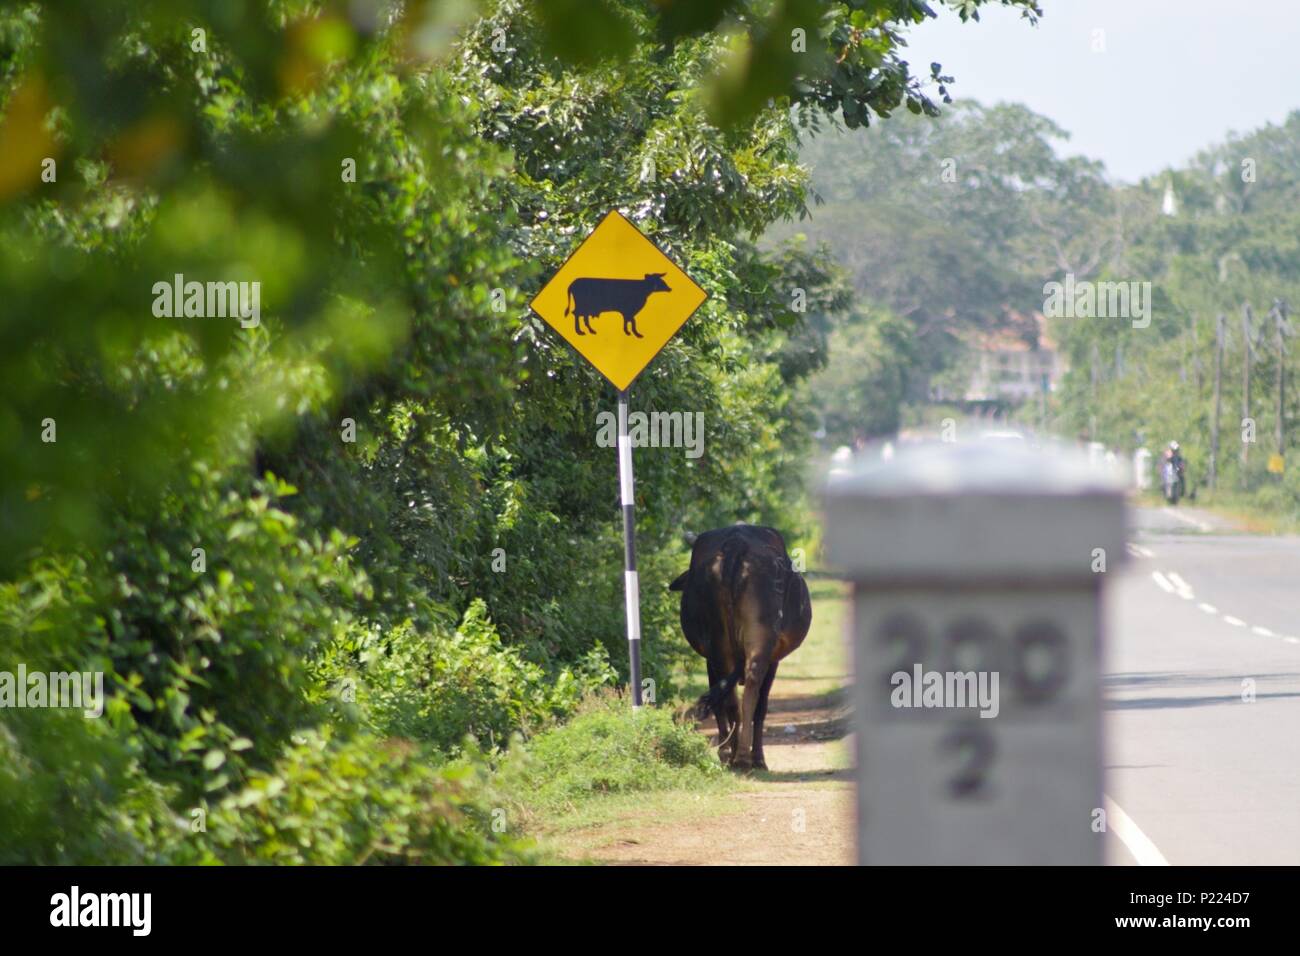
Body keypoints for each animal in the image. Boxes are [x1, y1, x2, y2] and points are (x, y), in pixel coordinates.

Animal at [670, 522, 811, 770]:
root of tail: (737, 543)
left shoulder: (710, 659)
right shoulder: (773, 660)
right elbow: (760, 706)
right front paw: (758, 757)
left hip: (719, 645)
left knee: (730, 700)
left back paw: (735, 754)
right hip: (758, 642)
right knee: (750, 690)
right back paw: (743, 756)